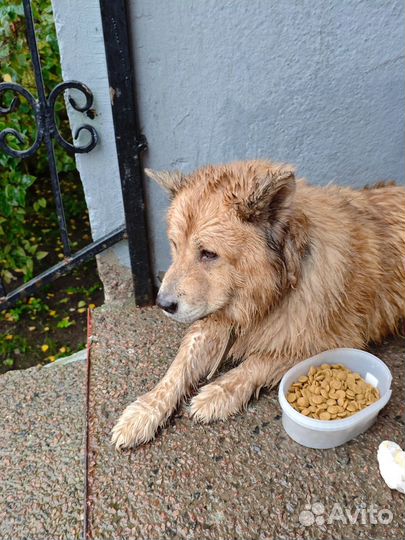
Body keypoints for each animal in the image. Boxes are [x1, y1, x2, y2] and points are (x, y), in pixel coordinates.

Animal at [111, 161, 404, 452]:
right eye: (174, 245)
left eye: (209, 254)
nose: (162, 303)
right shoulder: (215, 323)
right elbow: (178, 367)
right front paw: (145, 410)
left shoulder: (332, 341)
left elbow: (259, 361)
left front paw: (219, 392)